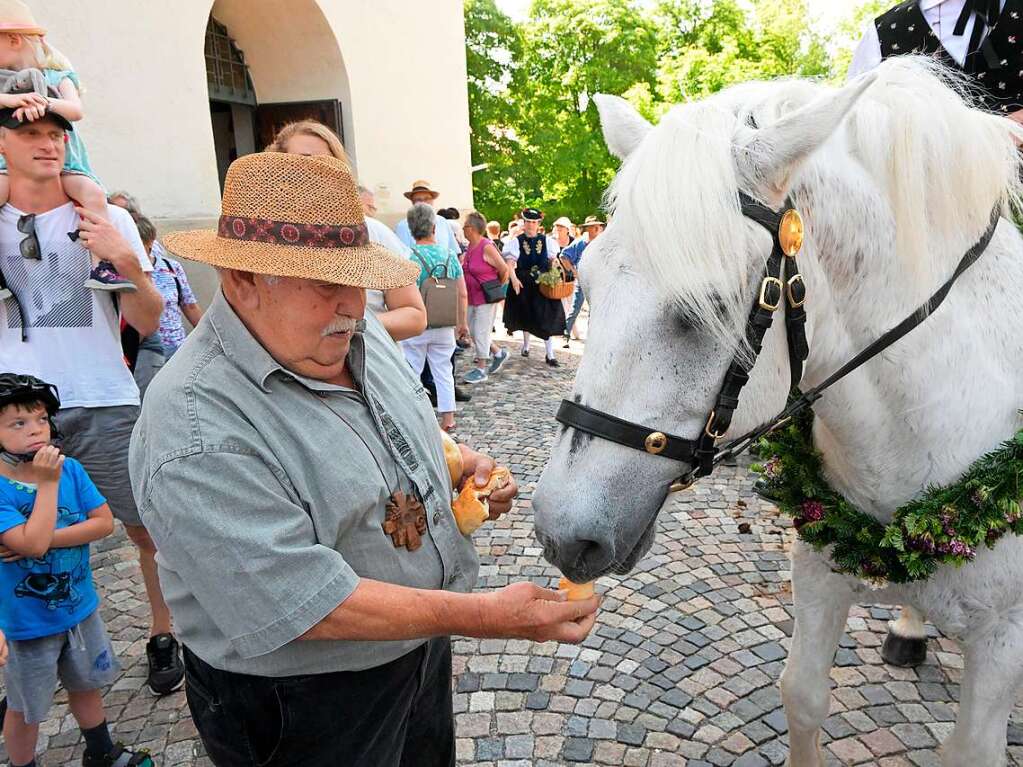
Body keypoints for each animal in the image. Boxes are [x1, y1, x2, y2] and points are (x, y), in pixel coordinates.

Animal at [531, 60, 1023, 767]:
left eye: (707, 304)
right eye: (587, 282)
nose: (560, 534)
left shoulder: (1003, 640)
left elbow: (969, 750)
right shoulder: (818, 571)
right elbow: (803, 694)